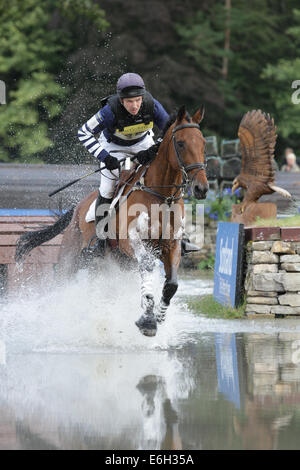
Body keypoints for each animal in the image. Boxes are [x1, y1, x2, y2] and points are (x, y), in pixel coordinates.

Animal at [15, 104, 209, 336]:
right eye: (180, 143)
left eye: (203, 143)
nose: (201, 188)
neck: (161, 196)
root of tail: (77, 207)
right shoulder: (131, 242)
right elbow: (147, 266)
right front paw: (148, 320)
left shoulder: (171, 246)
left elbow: (171, 284)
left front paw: (158, 317)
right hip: (71, 259)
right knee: (62, 283)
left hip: (110, 266)